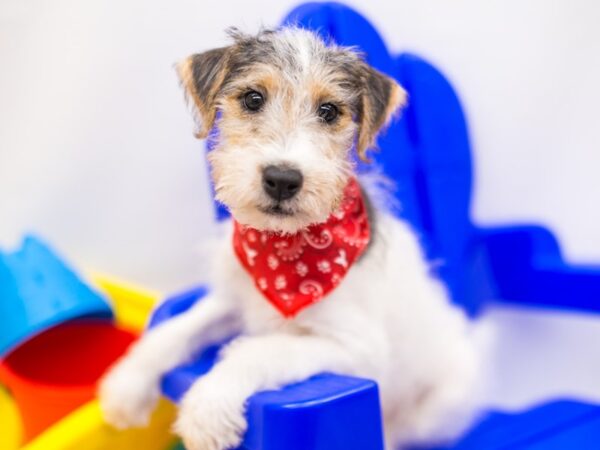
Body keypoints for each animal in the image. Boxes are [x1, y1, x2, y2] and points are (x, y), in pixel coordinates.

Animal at [101, 27, 480, 450]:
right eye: (253, 99)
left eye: (329, 111)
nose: (282, 179)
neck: (284, 250)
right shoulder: (233, 300)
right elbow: (177, 328)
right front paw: (128, 383)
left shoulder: (355, 347)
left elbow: (260, 350)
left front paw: (207, 409)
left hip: (437, 407)